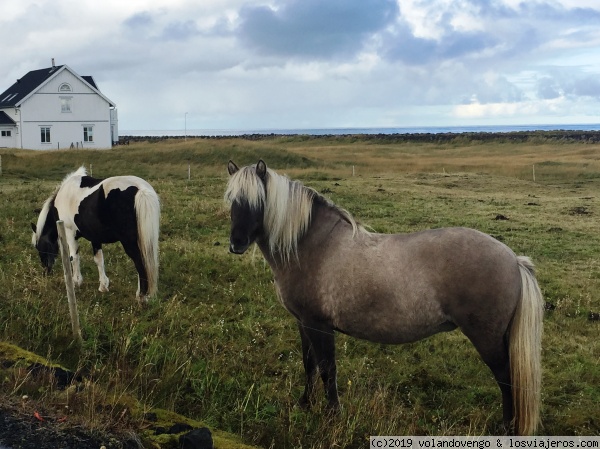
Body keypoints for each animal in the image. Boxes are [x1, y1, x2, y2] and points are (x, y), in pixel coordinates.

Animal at [32, 166, 159, 302]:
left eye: (39, 247)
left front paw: (76, 282)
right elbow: (99, 260)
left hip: (129, 242)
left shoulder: (70, 233)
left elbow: (73, 257)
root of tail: (141, 189)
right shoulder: (95, 237)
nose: (46, 271)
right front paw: (103, 286)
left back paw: (141, 296)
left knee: (140, 263)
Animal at [225, 158, 544, 434]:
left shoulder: (319, 324)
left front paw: (332, 415)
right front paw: (305, 404)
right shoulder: (304, 323)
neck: (313, 246)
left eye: (259, 201)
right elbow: (310, 364)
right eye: (231, 200)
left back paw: (507, 429)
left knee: (507, 380)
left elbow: (327, 369)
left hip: (487, 339)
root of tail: (513, 259)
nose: (236, 244)